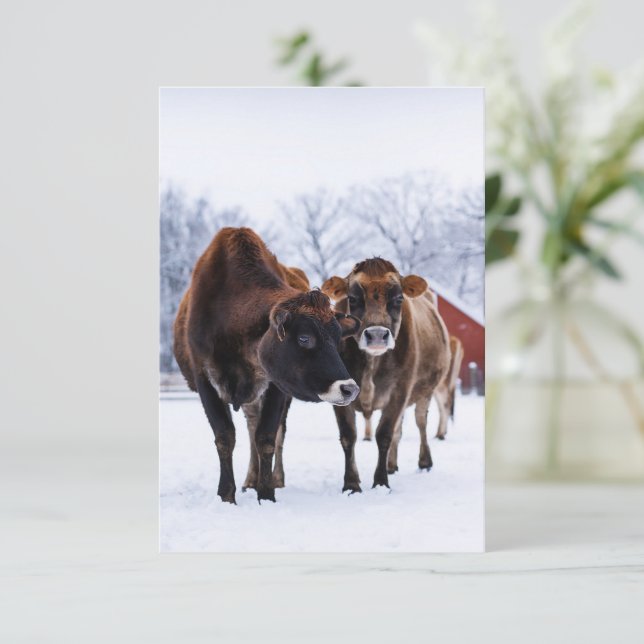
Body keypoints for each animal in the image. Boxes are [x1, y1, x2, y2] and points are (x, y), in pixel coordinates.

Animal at [173, 227, 360, 503]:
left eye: (338, 339)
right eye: (305, 338)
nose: (350, 388)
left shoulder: (275, 385)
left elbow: (267, 437)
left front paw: (267, 494)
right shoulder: (204, 377)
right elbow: (225, 436)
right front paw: (226, 495)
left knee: (271, 432)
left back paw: (273, 479)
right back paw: (250, 480)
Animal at [322, 258, 450, 491]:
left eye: (398, 298)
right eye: (352, 298)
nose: (376, 335)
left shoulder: (400, 390)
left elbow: (384, 435)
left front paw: (381, 482)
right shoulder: (338, 390)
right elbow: (348, 436)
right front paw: (351, 483)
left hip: (426, 391)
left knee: (420, 422)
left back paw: (424, 461)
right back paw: (392, 465)